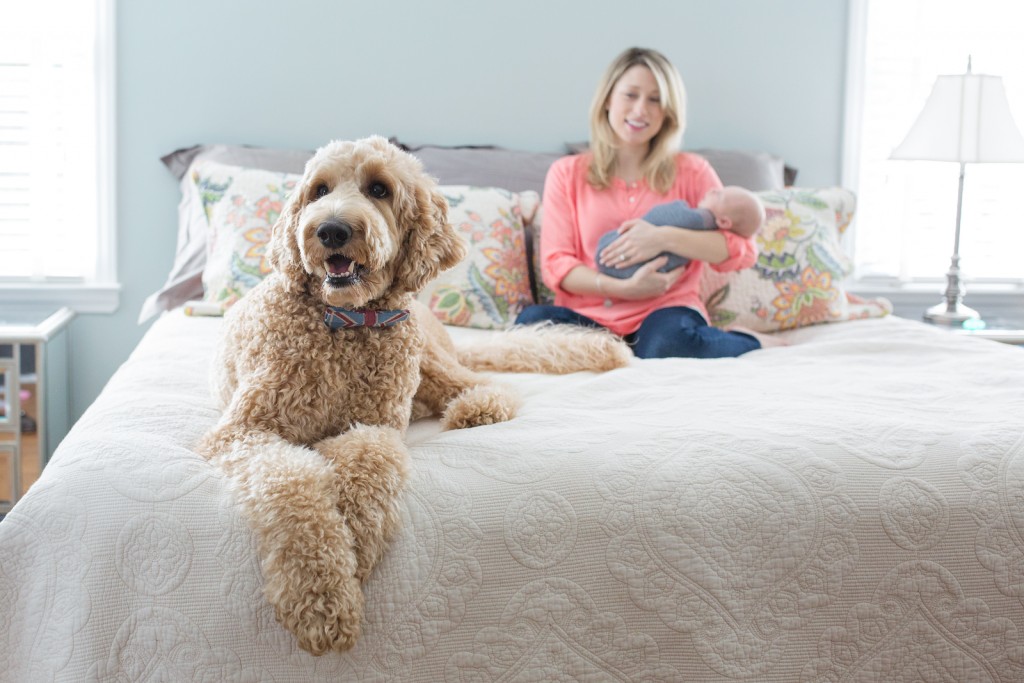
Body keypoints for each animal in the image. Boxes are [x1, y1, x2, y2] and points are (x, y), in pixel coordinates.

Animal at [197, 135, 630, 655]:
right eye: (319, 190)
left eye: (379, 189)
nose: (331, 230)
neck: (345, 323)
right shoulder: (244, 431)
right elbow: (292, 484)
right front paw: (320, 595)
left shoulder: (377, 425)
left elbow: (370, 460)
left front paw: (354, 546)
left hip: (429, 361)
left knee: (489, 384)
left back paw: (475, 410)